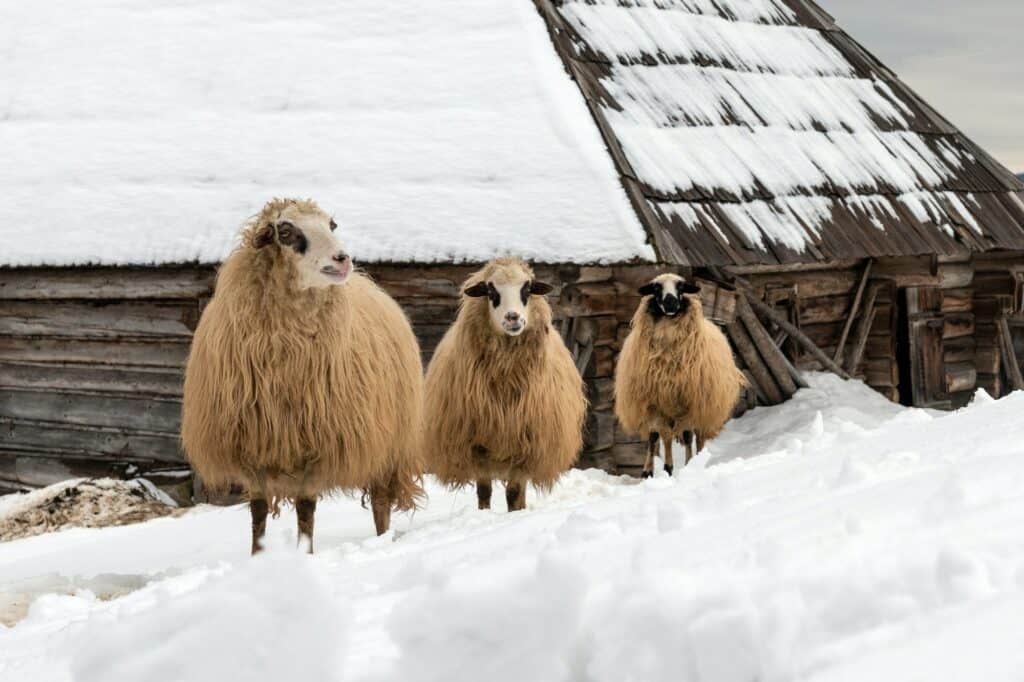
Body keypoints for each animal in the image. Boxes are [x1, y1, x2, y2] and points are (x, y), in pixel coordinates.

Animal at [181, 198, 424, 553]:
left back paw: (382, 540)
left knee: (381, 502)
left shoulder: (318, 443)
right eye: (285, 231)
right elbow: (257, 512)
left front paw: (304, 555)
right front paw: (258, 556)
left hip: (391, 445)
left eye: (331, 225)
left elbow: (306, 509)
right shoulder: (251, 445)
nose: (342, 259)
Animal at [423, 257, 587, 512]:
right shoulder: (477, 444)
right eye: (491, 291)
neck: (505, 381)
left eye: (527, 289)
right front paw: (484, 514)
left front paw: (514, 514)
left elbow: (514, 492)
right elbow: (484, 491)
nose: (512, 318)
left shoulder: (527, 442)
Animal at [615, 273, 745, 477]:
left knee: (696, 437)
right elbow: (657, 437)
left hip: (703, 408)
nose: (670, 302)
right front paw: (653, 471)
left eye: (681, 287)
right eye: (656, 288)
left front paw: (684, 465)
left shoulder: (689, 401)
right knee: (663, 436)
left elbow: (686, 435)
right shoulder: (654, 402)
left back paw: (695, 462)